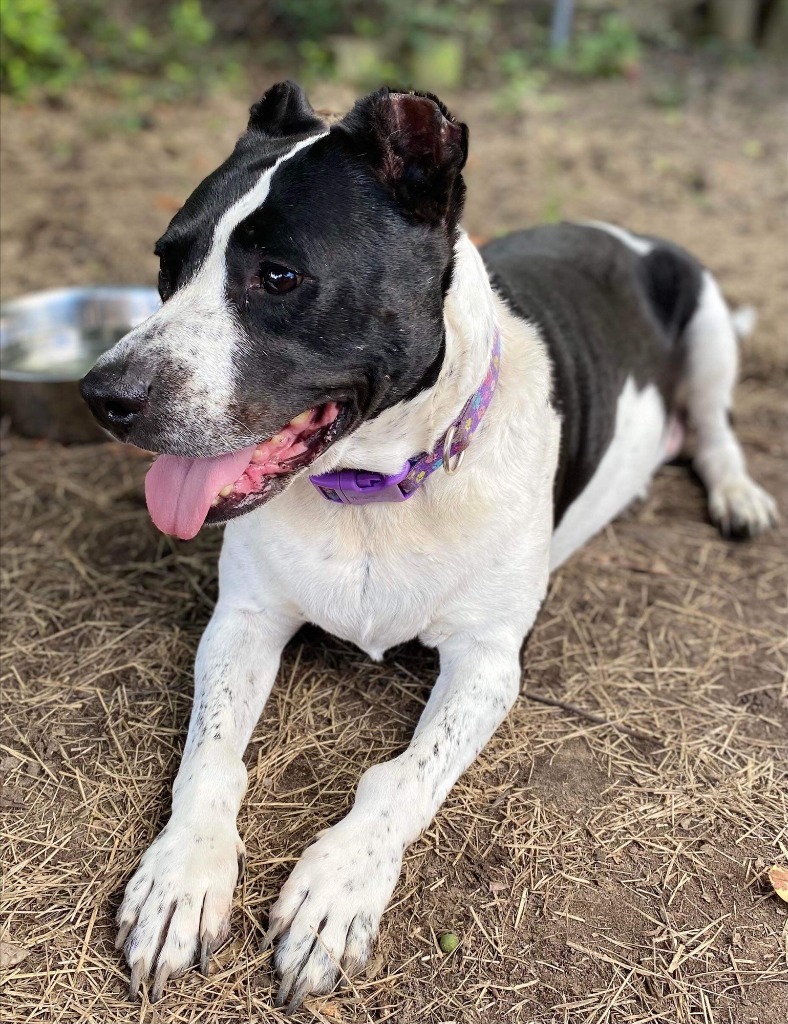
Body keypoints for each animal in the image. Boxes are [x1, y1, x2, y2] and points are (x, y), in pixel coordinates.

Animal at [78, 81, 773, 1007]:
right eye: (166, 262)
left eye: (279, 277)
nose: (103, 396)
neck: (373, 491)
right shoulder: (242, 621)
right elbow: (212, 757)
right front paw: (181, 878)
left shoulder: (487, 663)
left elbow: (403, 777)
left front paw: (337, 891)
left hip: (705, 326)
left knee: (718, 429)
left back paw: (738, 494)